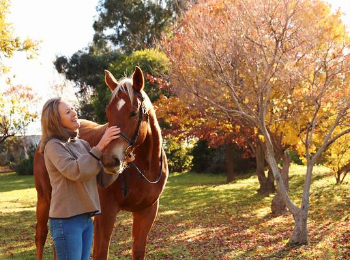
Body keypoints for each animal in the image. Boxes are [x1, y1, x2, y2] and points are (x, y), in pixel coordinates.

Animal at [33, 66, 169, 258]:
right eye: (108, 112)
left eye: (134, 112)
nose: (109, 161)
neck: (145, 168)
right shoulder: (105, 214)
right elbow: (100, 252)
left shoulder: (146, 212)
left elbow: (138, 250)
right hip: (45, 198)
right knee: (41, 235)